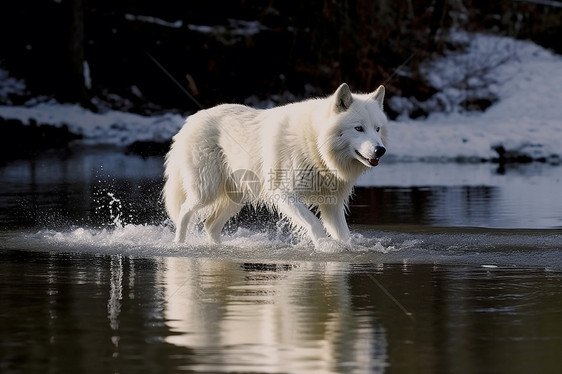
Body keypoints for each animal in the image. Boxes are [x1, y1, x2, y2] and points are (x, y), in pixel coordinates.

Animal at [164, 83, 388, 247]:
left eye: (377, 129)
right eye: (358, 128)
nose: (380, 150)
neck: (315, 145)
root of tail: (190, 120)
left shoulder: (332, 204)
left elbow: (344, 234)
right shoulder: (284, 193)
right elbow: (314, 222)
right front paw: (324, 246)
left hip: (236, 198)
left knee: (210, 226)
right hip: (206, 191)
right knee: (184, 211)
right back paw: (179, 244)